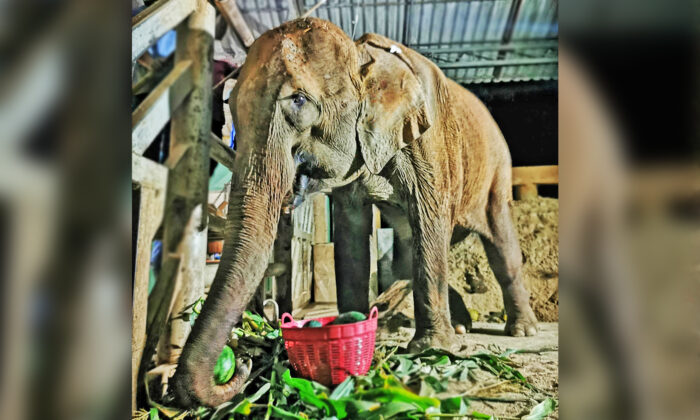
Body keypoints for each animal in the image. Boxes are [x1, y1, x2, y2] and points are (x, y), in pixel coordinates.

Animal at [173, 17, 538, 407]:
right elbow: (350, 234)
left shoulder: (429, 142)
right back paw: (460, 325)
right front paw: (357, 326)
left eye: (299, 100)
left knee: (500, 246)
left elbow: (429, 220)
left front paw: (431, 350)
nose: (242, 363)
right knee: (409, 253)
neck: (361, 54)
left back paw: (521, 330)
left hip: (497, 170)